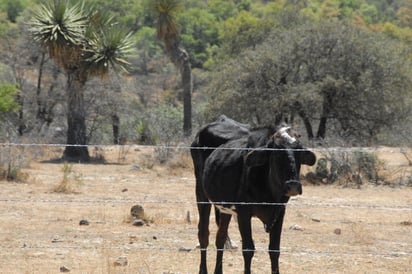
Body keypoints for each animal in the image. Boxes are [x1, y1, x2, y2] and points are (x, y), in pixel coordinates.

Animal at [190, 116, 316, 274]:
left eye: (299, 151)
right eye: (276, 152)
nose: (292, 185)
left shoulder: (280, 212)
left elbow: (274, 250)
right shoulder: (244, 213)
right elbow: (248, 249)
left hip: (225, 207)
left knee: (220, 237)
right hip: (201, 195)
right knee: (203, 234)